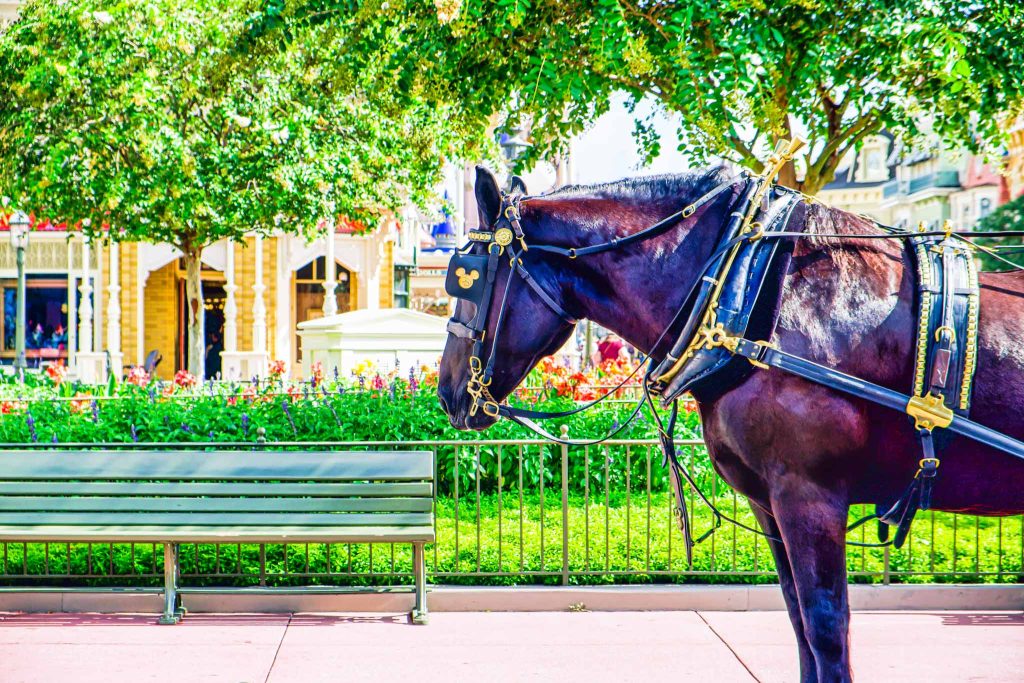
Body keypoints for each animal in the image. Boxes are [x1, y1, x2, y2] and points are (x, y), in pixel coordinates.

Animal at [436, 165, 1024, 683]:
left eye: (466, 281)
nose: (445, 392)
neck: (747, 295)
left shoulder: (810, 498)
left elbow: (827, 630)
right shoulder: (771, 502)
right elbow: (799, 624)